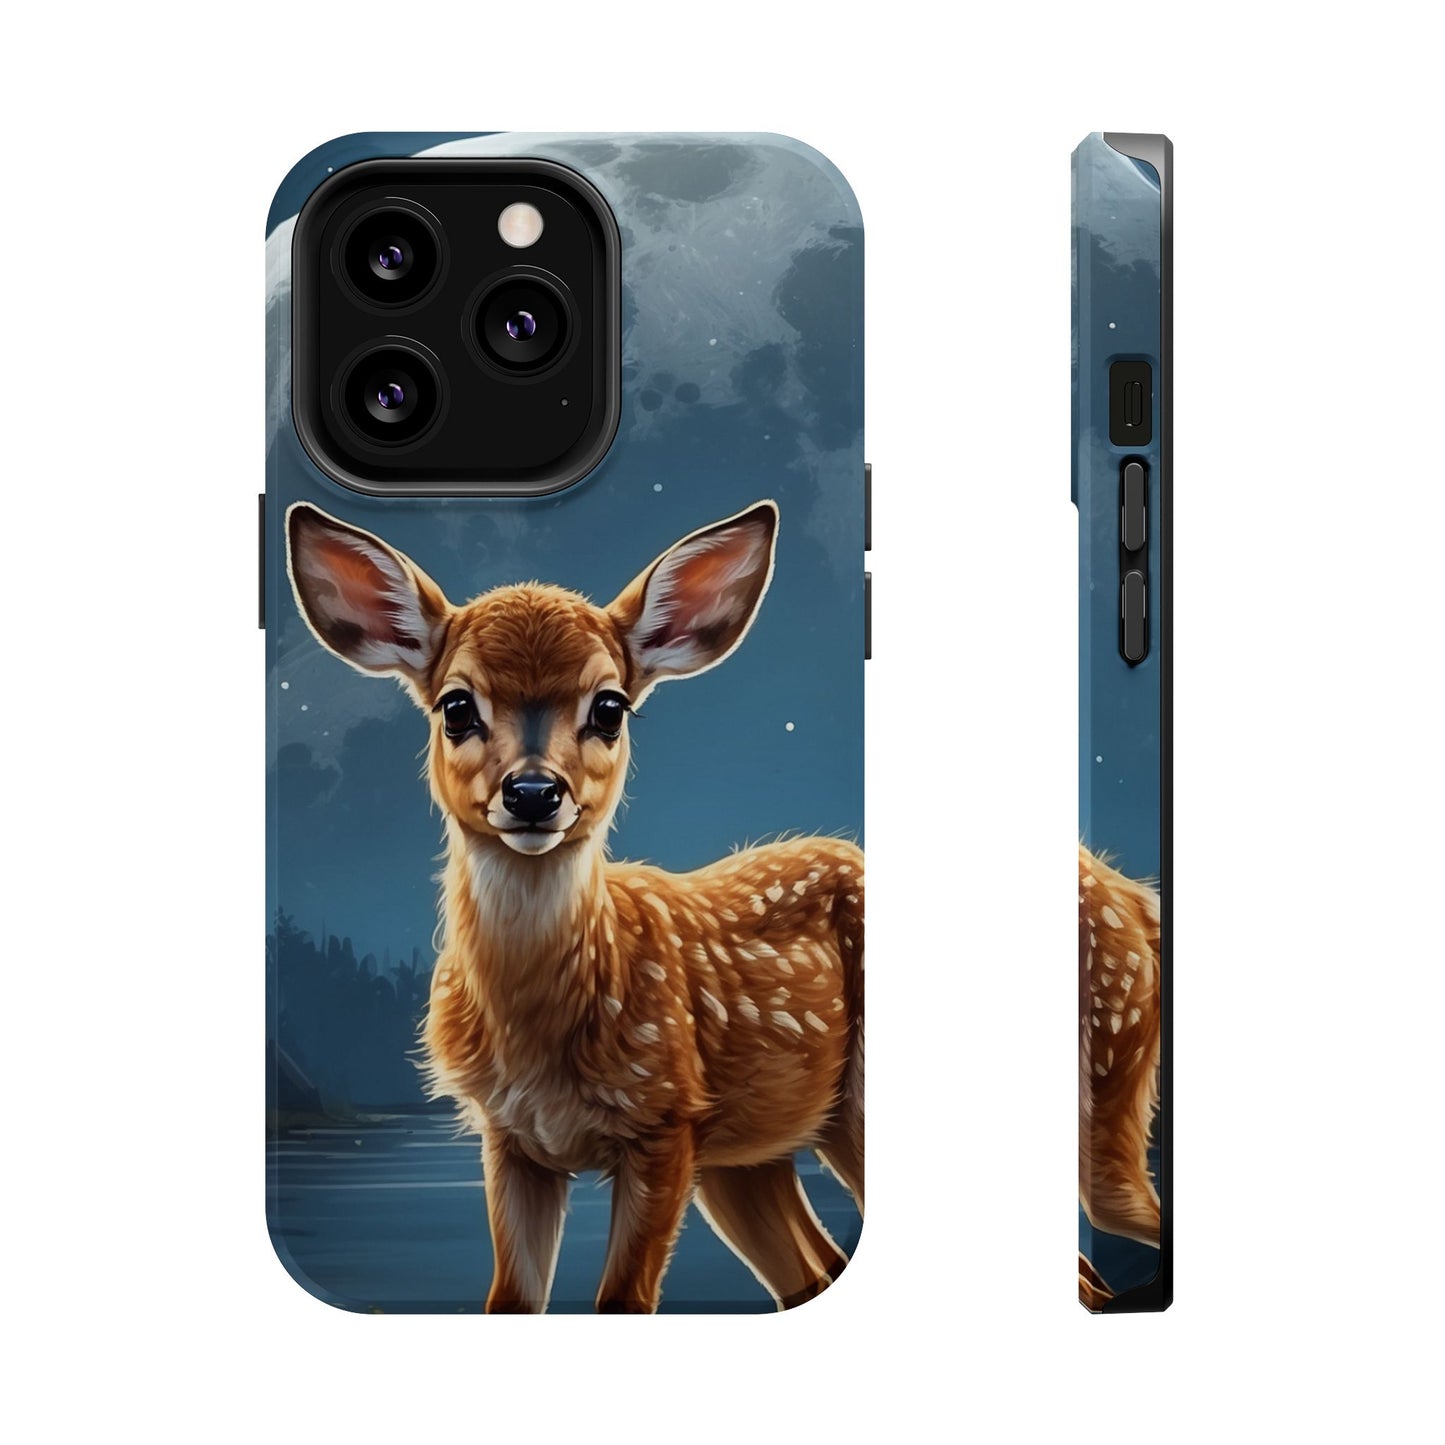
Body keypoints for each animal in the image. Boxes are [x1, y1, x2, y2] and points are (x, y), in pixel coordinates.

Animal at [286, 499, 863, 1313]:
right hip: (745, 1155)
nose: (533, 792)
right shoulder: (510, 1138)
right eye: (456, 706)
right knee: (815, 1270)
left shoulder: (663, 1121)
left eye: (610, 706)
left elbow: (621, 1300)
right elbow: (510, 1299)